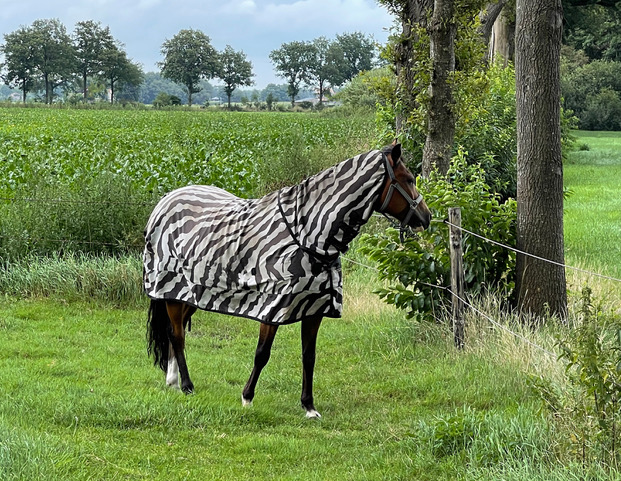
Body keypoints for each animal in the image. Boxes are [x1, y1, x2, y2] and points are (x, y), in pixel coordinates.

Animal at [144, 142, 432, 416]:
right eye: (408, 179)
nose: (426, 217)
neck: (307, 235)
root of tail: (166, 200)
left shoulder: (314, 308)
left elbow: (309, 356)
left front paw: (309, 406)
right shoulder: (271, 306)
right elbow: (262, 354)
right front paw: (247, 398)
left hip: (190, 294)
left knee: (175, 332)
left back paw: (172, 380)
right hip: (172, 289)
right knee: (178, 335)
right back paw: (186, 385)